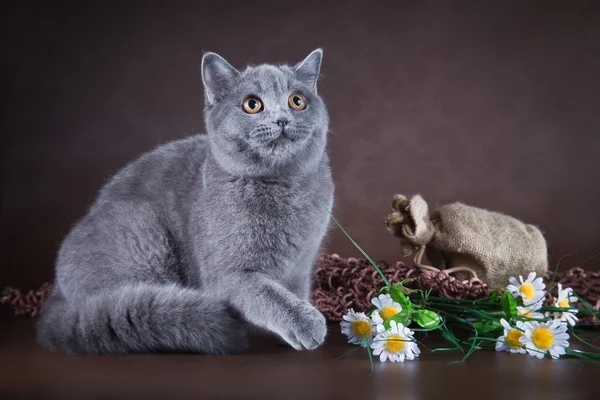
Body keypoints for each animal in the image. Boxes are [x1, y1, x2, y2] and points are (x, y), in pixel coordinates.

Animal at [35, 49, 336, 354]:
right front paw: (307, 324)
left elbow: (293, 292)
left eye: (297, 101)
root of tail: (55, 295)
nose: (282, 119)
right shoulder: (229, 274)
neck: (285, 186)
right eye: (252, 104)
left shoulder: (301, 266)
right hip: (143, 231)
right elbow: (270, 296)